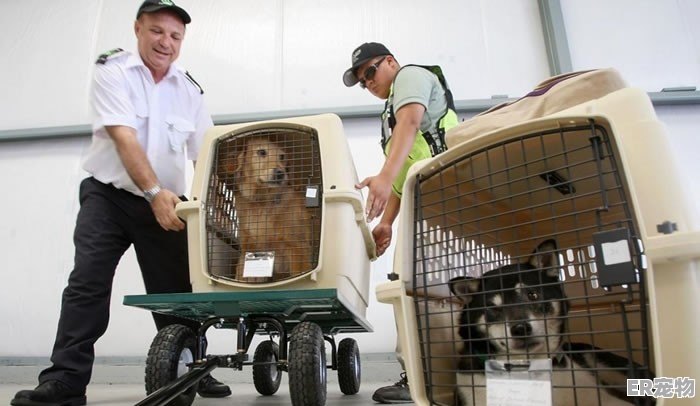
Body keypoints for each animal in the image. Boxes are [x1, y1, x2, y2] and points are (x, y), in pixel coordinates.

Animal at [204, 127, 322, 282]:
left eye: (282, 156)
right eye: (261, 152)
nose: (280, 173)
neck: (262, 202)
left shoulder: (298, 248)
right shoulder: (249, 251)